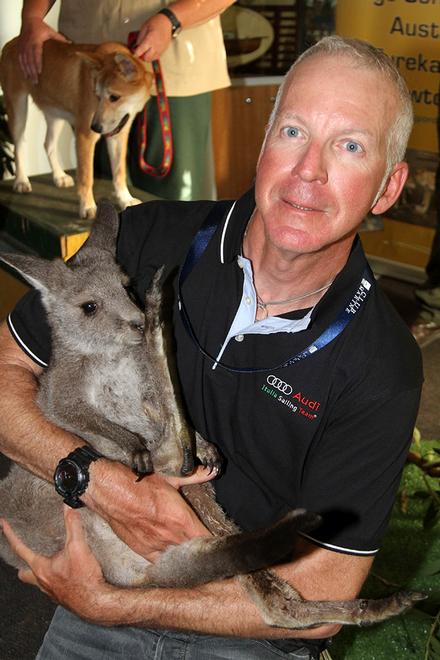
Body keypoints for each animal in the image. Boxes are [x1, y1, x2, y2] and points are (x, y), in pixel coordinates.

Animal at [0, 38, 152, 219]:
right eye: (97, 95)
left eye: (114, 97)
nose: (95, 127)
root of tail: (11, 43)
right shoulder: (84, 135)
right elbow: (87, 176)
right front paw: (88, 206)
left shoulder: (118, 136)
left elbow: (119, 172)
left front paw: (125, 199)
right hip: (17, 106)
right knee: (19, 145)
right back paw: (21, 180)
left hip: (55, 113)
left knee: (48, 144)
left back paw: (59, 176)